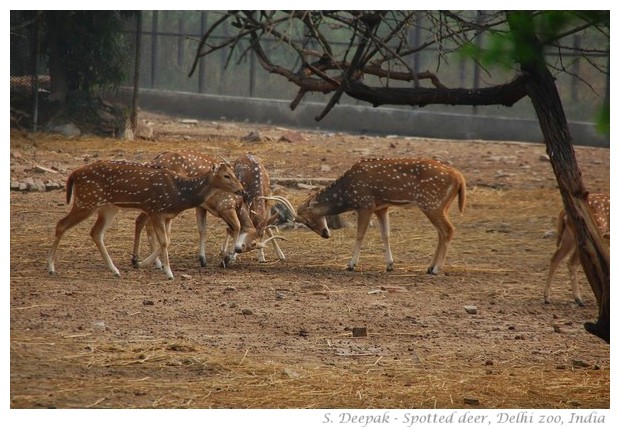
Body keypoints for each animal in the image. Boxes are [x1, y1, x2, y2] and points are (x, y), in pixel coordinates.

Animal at [47, 159, 245, 280]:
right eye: (226, 175)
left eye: (235, 174)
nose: (242, 190)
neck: (179, 194)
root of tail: (73, 175)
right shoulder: (156, 210)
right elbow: (164, 241)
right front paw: (168, 272)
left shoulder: (166, 215)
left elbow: (167, 240)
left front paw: (141, 262)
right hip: (87, 200)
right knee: (61, 224)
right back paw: (51, 268)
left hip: (108, 207)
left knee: (96, 233)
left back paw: (115, 270)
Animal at [266, 157, 464, 274]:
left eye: (307, 219)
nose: (325, 234)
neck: (347, 193)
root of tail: (459, 178)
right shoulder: (381, 207)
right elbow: (386, 235)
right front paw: (390, 264)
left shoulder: (365, 204)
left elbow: (360, 234)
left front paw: (351, 264)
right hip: (442, 205)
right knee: (441, 232)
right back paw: (429, 267)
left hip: (431, 203)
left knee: (448, 230)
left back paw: (436, 269)